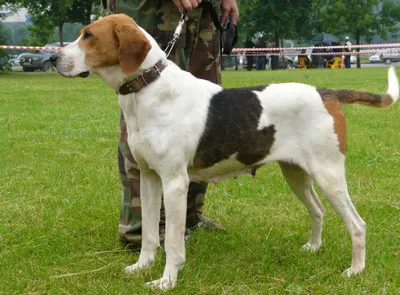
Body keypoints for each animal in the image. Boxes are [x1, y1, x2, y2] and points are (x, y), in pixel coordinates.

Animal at [51, 14, 398, 292]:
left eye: (88, 35)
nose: (53, 59)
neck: (148, 89)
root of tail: (325, 93)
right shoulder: (149, 178)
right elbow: (150, 233)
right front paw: (142, 267)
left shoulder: (174, 184)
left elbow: (172, 241)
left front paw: (166, 281)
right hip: (296, 173)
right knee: (318, 210)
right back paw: (313, 248)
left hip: (329, 175)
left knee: (357, 224)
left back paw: (355, 270)